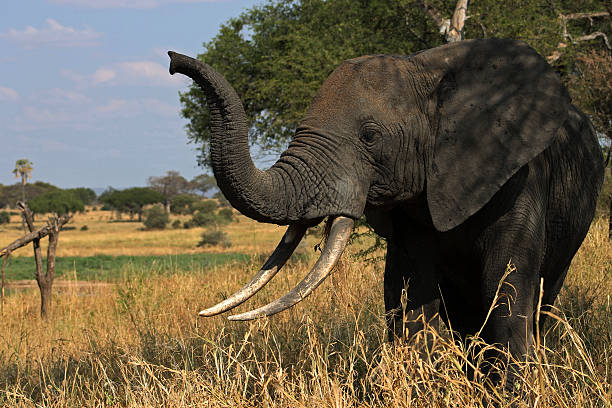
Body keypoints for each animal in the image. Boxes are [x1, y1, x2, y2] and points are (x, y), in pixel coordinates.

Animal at [166, 39, 604, 388]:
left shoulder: (519, 175)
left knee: (540, 299)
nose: (171, 60)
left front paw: (510, 394)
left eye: (370, 136)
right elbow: (411, 290)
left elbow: (506, 285)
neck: (429, 72)